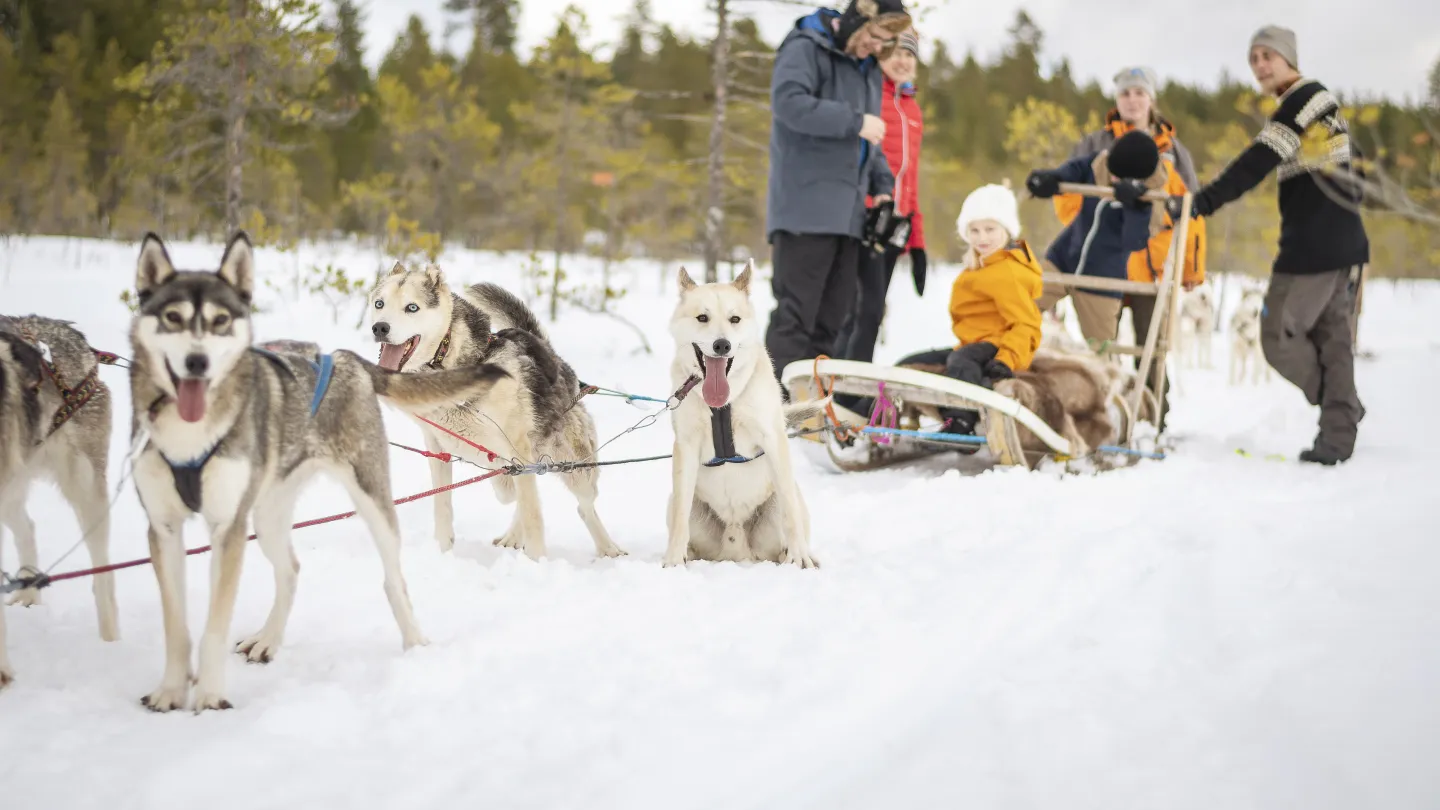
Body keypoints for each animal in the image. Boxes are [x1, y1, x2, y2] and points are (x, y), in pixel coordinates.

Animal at [129, 230, 509, 709]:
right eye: (173, 318)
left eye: (221, 322)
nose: (197, 362)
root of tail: (343, 357)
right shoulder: (162, 529)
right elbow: (175, 624)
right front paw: (170, 692)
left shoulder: (228, 529)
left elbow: (214, 624)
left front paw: (211, 696)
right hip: (266, 516)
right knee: (290, 569)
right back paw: (267, 639)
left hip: (370, 499)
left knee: (394, 581)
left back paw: (415, 646)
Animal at [362, 262, 622, 559]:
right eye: (379, 303)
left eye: (412, 307)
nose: (380, 327)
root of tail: (552, 355)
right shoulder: (438, 450)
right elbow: (443, 506)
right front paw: (443, 552)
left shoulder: (518, 447)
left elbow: (533, 516)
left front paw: (537, 562)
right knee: (516, 493)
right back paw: (513, 535)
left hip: (575, 468)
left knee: (583, 506)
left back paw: (608, 548)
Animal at [662, 265, 823, 567]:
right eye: (703, 317)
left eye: (734, 318)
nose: (722, 345)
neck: (722, 405)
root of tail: (736, 548)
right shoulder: (686, 446)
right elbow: (680, 517)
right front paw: (674, 561)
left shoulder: (772, 438)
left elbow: (790, 514)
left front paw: (800, 557)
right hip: (680, 504)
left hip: (780, 504)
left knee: (788, 516)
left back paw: (794, 554)